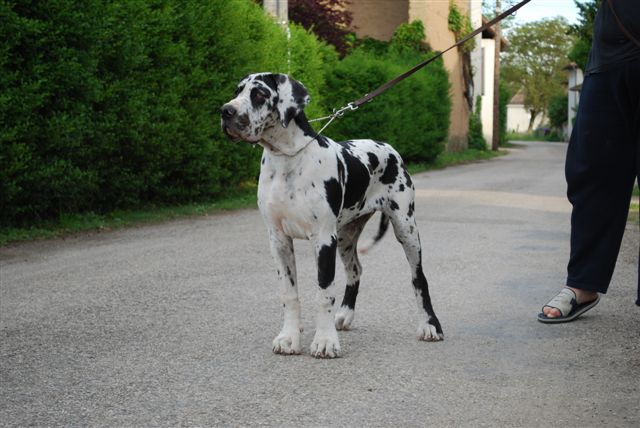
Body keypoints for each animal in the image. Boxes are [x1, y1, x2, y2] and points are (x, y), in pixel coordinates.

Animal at [220, 73, 440, 358]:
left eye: (259, 94)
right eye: (237, 91)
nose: (226, 111)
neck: (287, 160)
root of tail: (387, 147)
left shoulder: (323, 239)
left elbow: (324, 293)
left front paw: (325, 341)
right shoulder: (278, 240)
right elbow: (289, 293)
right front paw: (289, 337)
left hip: (406, 229)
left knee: (419, 278)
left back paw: (430, 326)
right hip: (346, 237)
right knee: (355, 271)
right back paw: (345, 315)